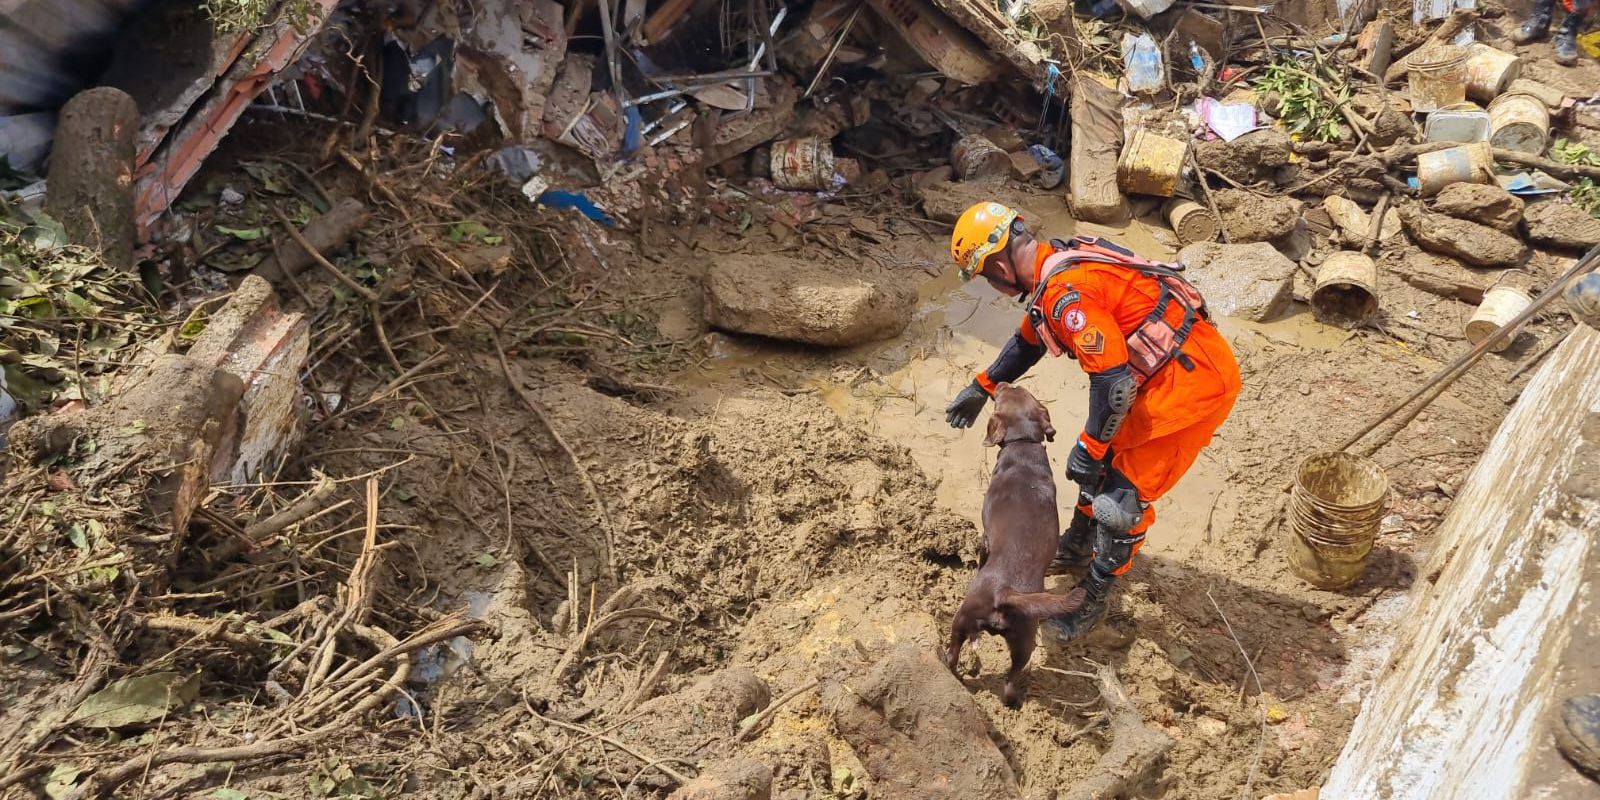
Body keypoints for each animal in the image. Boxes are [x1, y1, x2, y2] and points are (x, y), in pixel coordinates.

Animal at [947, 382, 1088, 707]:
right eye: (1021, 390)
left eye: (1005, 394)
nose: (1000, 383)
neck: (1024, 445)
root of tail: (1006, 594)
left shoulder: (985, 538)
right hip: (1025, 643)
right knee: (1010, 681)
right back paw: (1013, 703)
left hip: (962, 619)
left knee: (952, 655)